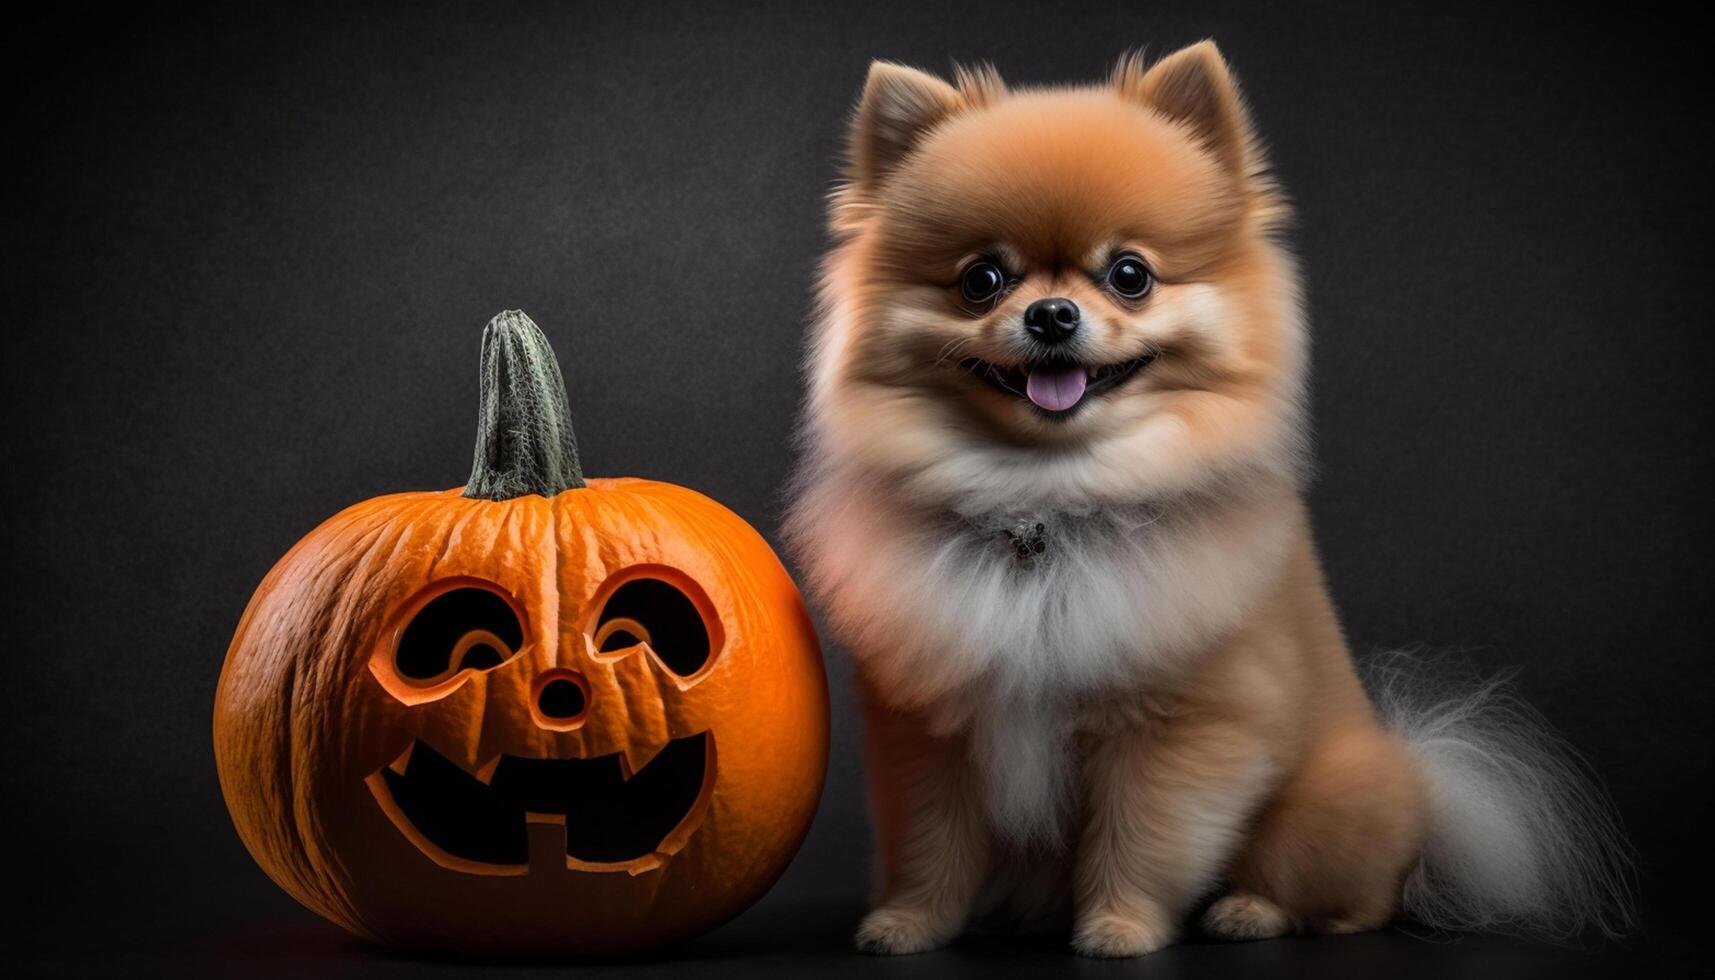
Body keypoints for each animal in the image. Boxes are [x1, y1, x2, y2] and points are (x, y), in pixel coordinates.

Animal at [785, 42, 1625, 954]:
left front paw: (1118, 927)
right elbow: (931, 842)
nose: (1051, 314)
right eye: (981, 279)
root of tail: (1418, 777)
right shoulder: (932, 731)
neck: (1048, 503)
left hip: (1321, 806)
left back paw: (1251, 911)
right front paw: (909, 924)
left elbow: (1140, 834)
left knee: (1352, 901)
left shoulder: (1177, 725)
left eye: (1129, 275)